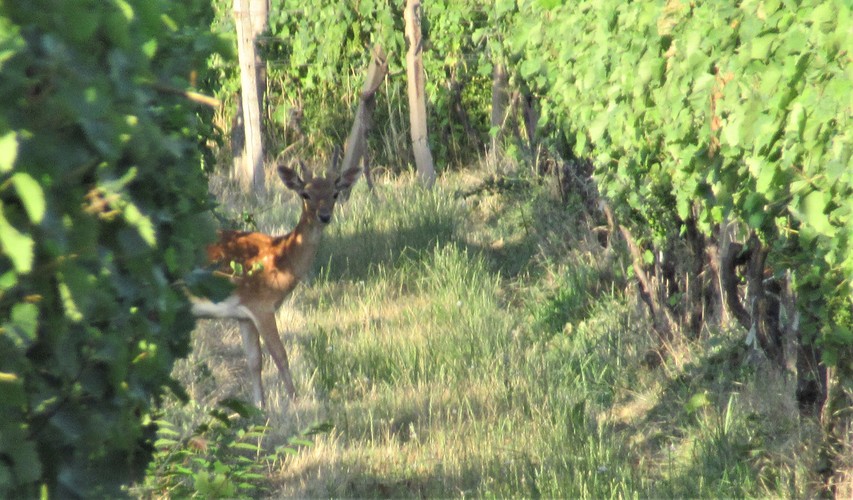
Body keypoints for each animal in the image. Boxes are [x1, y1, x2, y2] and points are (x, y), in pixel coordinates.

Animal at [191, 158, 362, 408]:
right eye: (305, 194)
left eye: (335, 193)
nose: (324, 216)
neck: (280, 257)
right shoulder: (262, 304)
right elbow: (280, 355)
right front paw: (295, 401)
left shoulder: (243, 314)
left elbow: (254, 361)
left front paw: (259, 407)